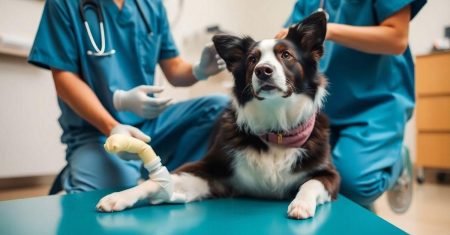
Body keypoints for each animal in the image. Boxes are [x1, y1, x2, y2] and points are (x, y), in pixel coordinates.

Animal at [97, 11, 338, 219]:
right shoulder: (210, 172)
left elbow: (311, 183)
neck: (276, 129)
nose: (263, 70)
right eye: (252, 60)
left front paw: (301, 204)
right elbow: (159, 181)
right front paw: (120, 196)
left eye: (286, 55)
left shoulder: (331, 175)